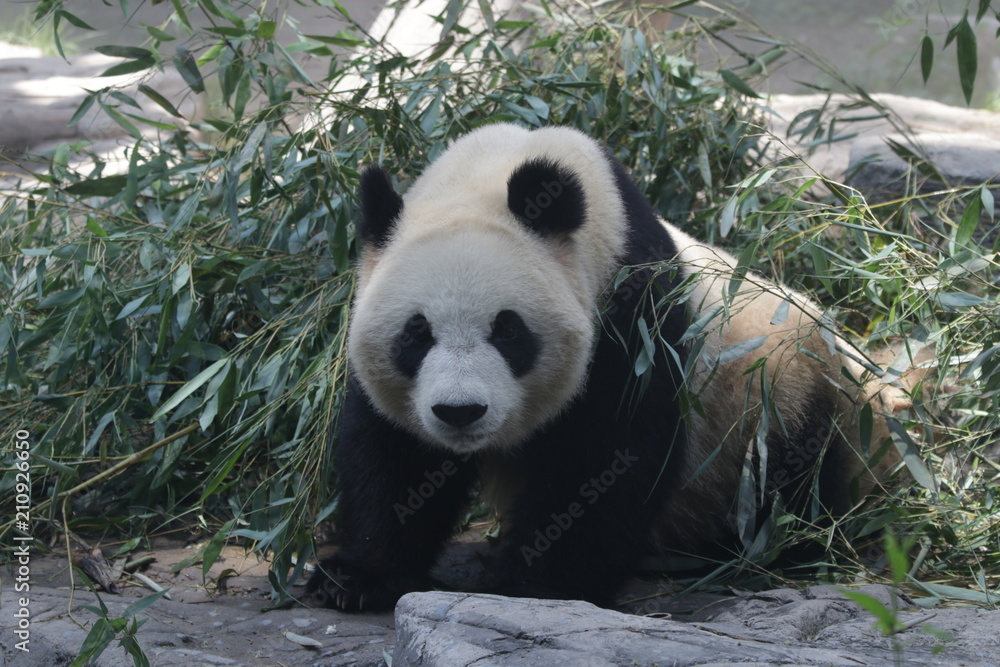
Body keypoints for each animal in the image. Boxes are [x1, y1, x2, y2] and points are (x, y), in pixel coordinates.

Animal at [306, 123, 903, 611]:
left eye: (508, 331)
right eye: (416, 334)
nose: (460, 412)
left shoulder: (633, 315)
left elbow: (608, 458)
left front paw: (538, 585)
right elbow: (397, 457)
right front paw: (355, 577)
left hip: (780, 383)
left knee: (793, 481)